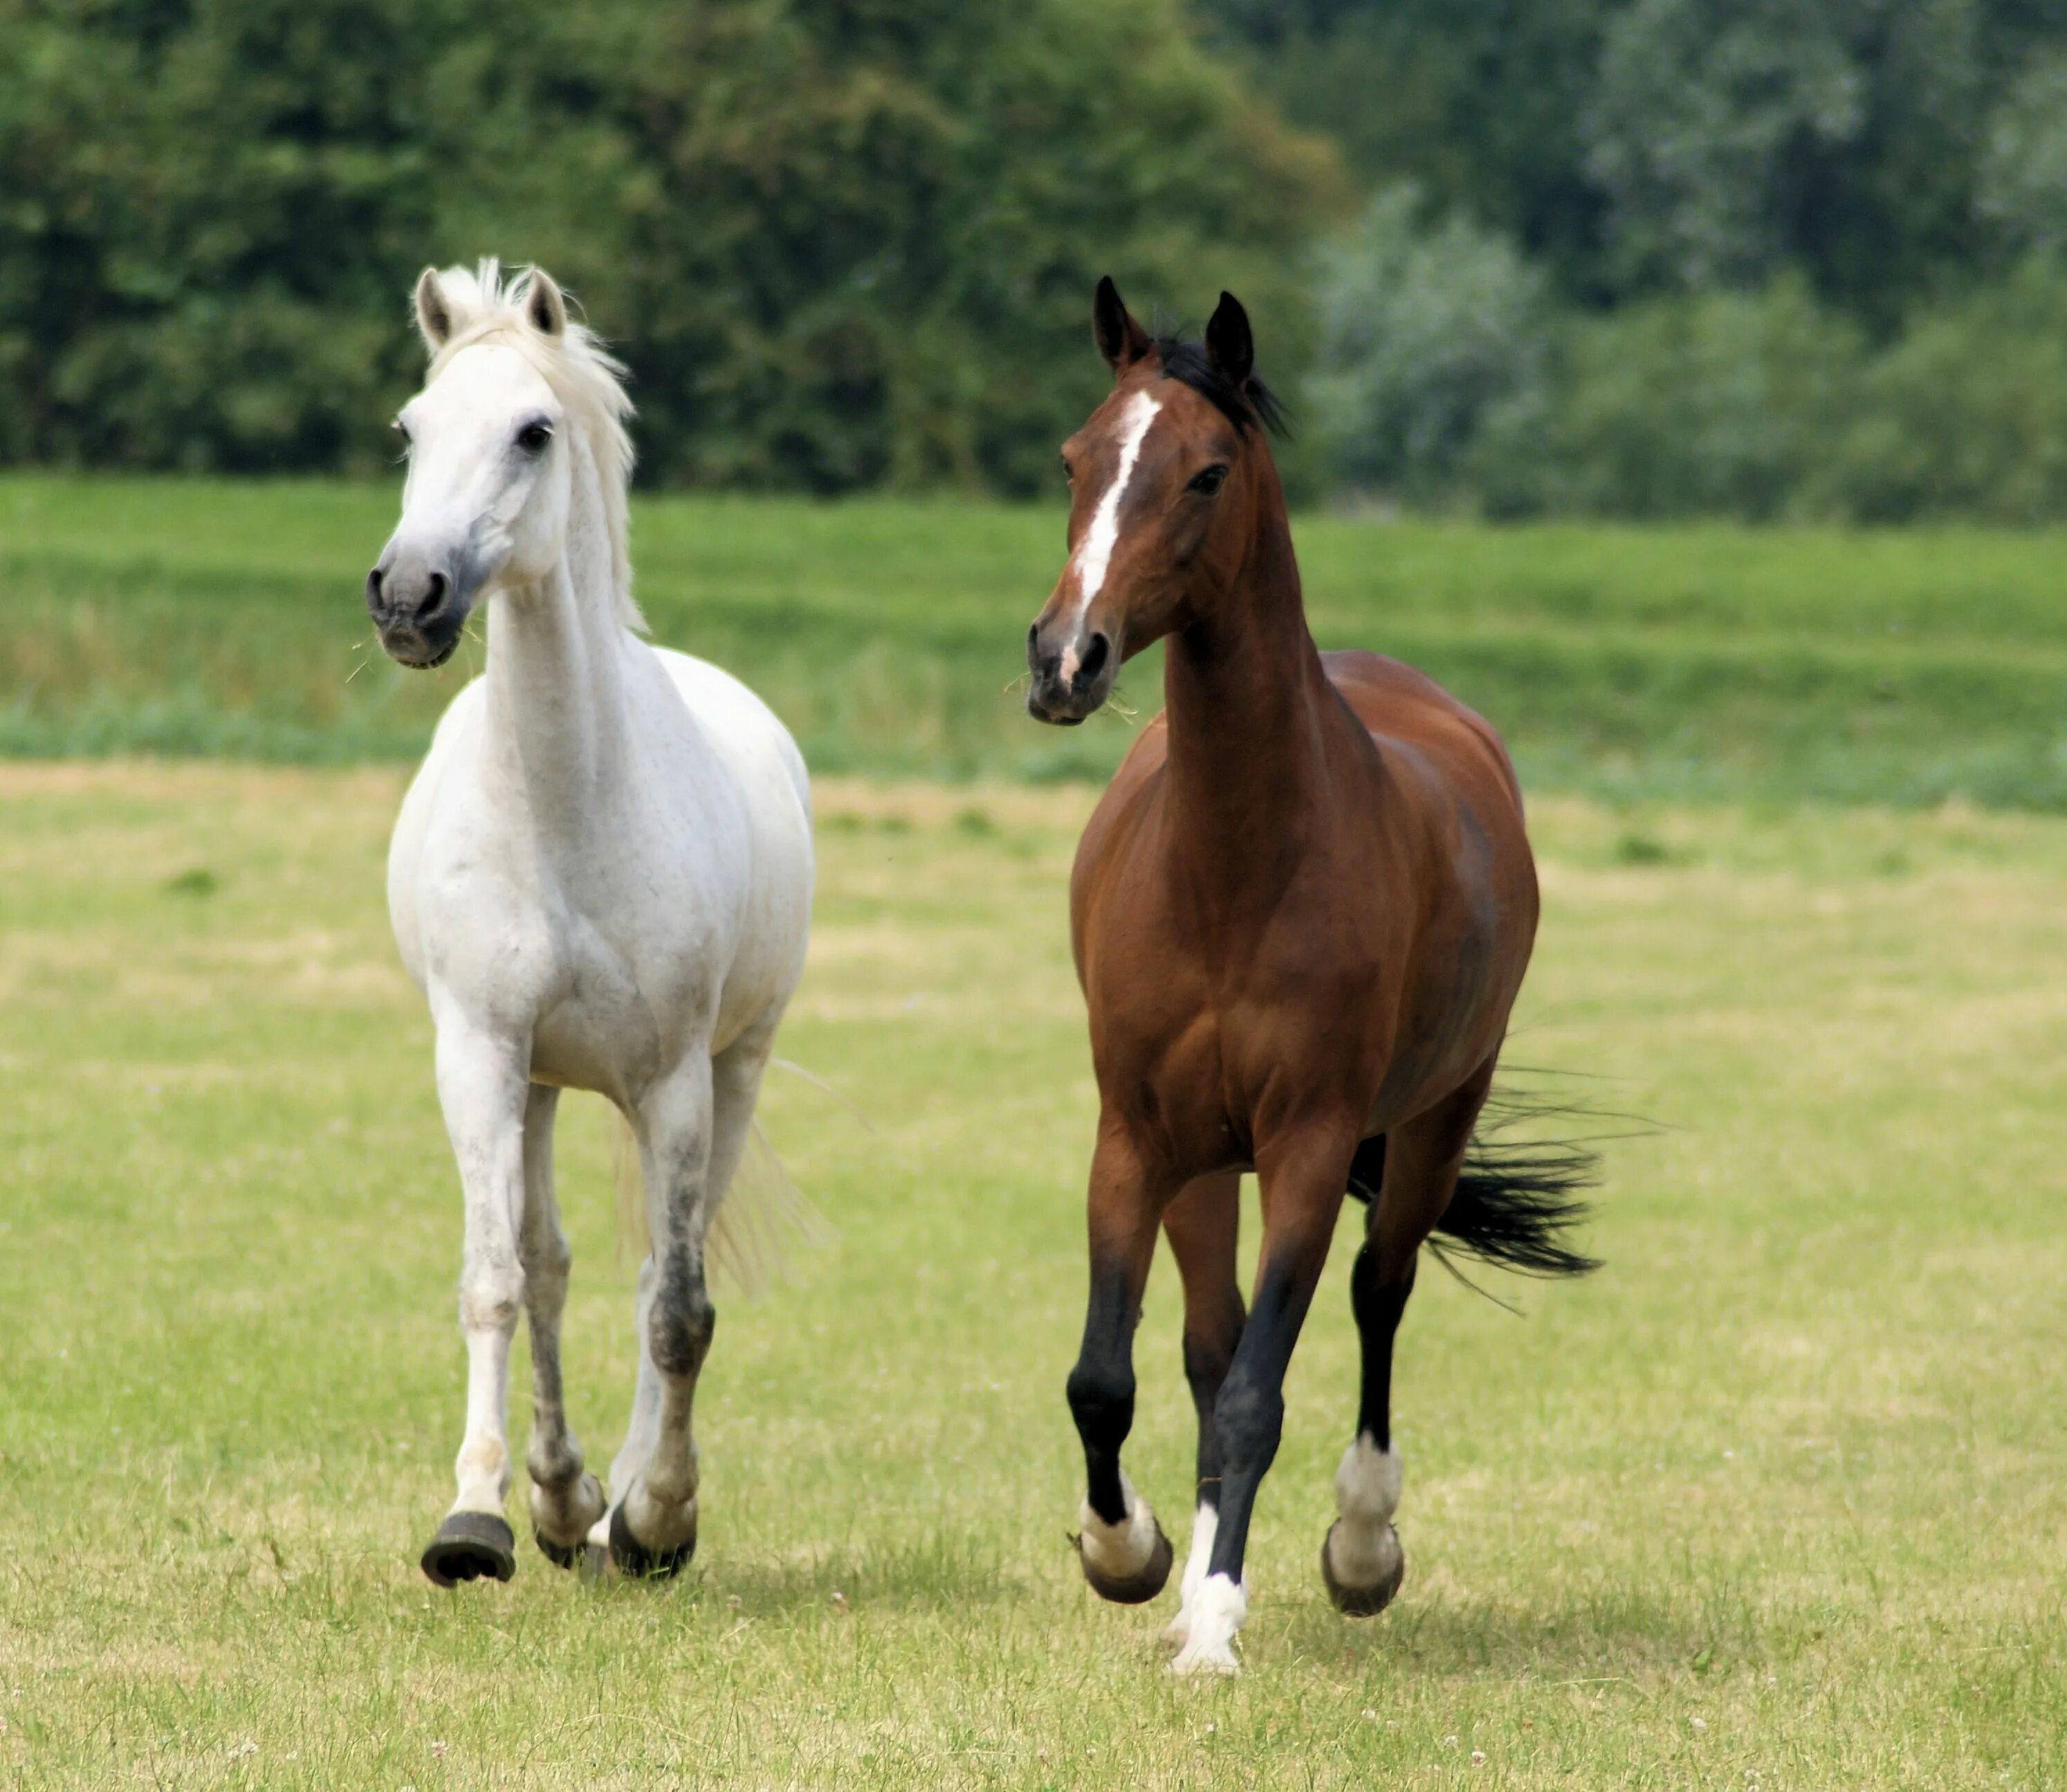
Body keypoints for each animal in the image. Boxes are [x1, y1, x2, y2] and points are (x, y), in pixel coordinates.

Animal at [363, 262, 814, 1587]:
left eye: (533, 431)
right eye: (409, 429)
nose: (407, 596)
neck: (568, 804)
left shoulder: (673, 1080)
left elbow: (675, 1307)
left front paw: (659, 1515)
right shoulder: (479, 1055)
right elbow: (499, 1278)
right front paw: (479, 1517)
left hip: (733, 1069)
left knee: (670, 1269)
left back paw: (620, 1515)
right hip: (540, 1084)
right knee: (551, 1266)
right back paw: (563, 1502)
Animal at [1021, 277, 1595, 1670]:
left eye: (1206, 472)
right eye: (1075, 457)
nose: (1065, 659)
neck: (1234, 869)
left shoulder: (1308, 1145)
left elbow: (1258, 1394)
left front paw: (1218, 1623)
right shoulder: (1137, 1138)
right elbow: (1110, 1376)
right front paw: (1131, 1556)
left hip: (1433, 1117)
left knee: (1377, 1295)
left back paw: (1361, 1546)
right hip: (1201, 1163)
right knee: (1204, 1340)